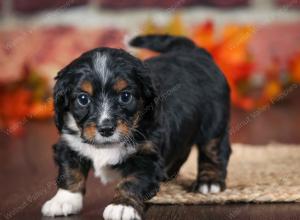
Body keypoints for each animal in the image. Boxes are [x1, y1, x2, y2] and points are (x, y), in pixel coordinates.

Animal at [41, 34, 231, 220]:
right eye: (83, 99)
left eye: (125, 96)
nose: (106, 129)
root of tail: (194, 51)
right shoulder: (70, 143)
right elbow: (70, 171)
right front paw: (63, 201)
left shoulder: (146, 156)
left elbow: (132, 182)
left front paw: (122, 206)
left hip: (215, 123)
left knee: (214, 150)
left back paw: (209, 182)